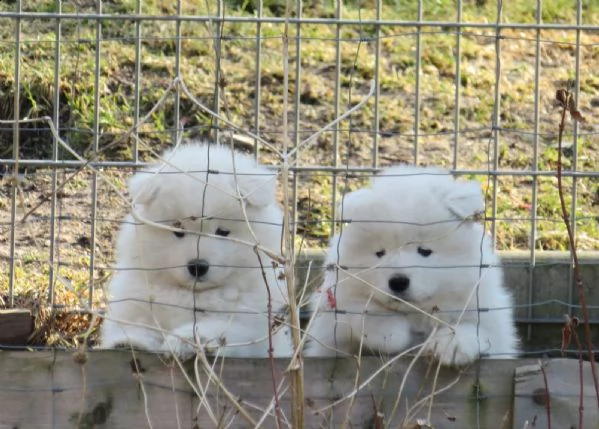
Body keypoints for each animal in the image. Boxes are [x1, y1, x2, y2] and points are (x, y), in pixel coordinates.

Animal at [101, 142, 292, 356]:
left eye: (222, 232)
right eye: (178, 229)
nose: (198, 266)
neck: (191, 295)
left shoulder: (249, 326)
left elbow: (217, 327)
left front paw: (189, 340)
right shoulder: (135, 303)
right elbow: (137, 324)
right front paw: (129, 341)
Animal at [308, 166, 516, 366]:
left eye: (424, 251)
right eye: (380, 253)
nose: (398, 282)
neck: (416, 313)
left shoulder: (490, 318)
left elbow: (476, 328)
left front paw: (451, 343)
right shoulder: (332, 316)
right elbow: (359, 313)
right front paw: (391, 332)